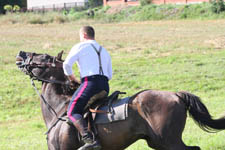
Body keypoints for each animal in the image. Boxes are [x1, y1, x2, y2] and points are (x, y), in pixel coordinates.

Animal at [15, 51, 225, 149]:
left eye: (43, 57)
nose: (21, 54)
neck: (58, 110)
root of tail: (176, 94)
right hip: (158, 142)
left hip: (169, 141)